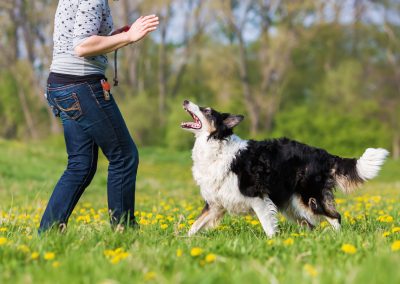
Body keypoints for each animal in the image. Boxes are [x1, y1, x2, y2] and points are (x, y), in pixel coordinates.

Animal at [180, 100, 388, 237]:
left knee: (335, 217)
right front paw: (183, 242)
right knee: (311, 225)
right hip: (294, 205)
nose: (186, 100)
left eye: (206, 111)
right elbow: (194, 226)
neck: (216, 145)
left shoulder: (258, 198)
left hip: (310, 198)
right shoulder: (215, 204)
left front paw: (272, 244)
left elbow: (268, 227)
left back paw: (339, 239)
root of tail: (325, 154)